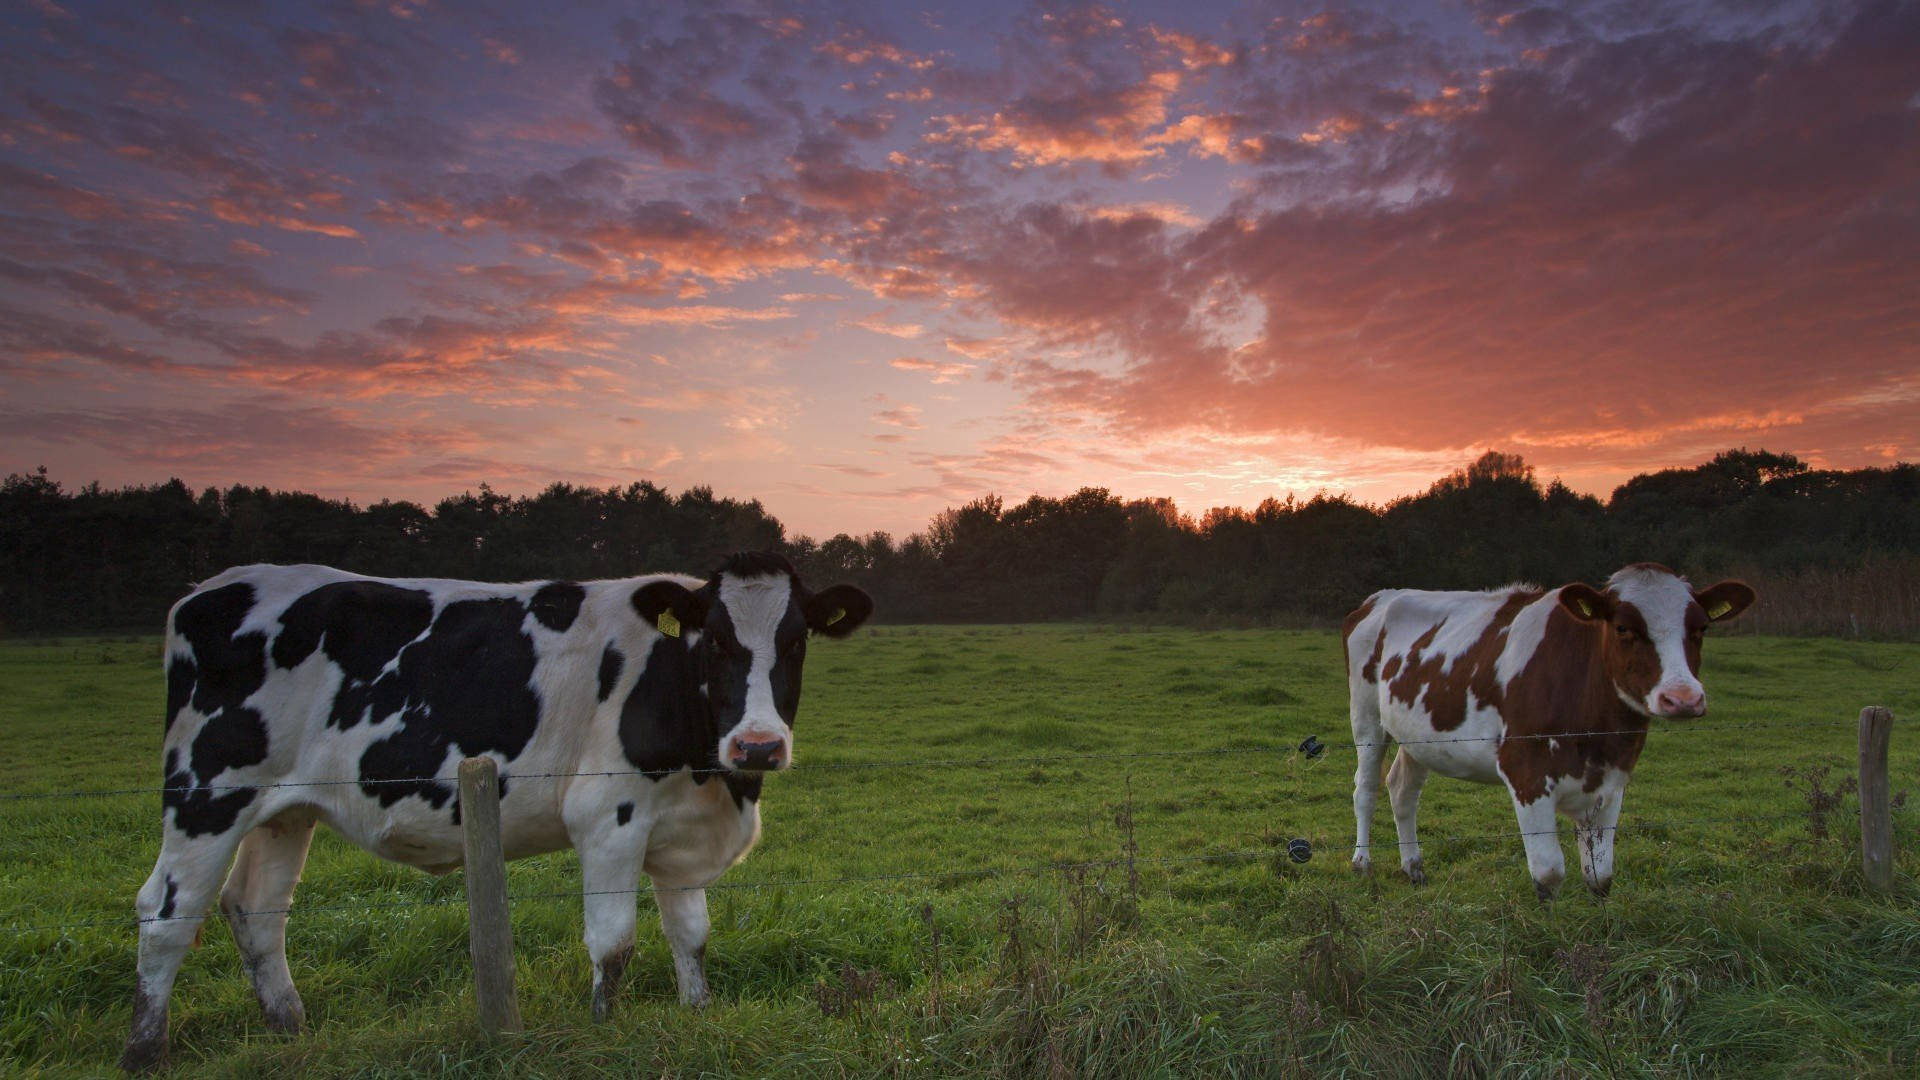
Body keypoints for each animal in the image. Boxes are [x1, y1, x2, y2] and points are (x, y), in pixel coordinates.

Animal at [120, 553, 871, 1068]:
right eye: (714, 640)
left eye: (796, 641)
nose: (758, 745)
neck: (712, 774)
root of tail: (210, 589)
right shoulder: (610, 816)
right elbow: (614, 944)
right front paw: (602, 1030)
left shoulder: (681, 829)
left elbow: (690, 935)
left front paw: (696, 1016)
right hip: (207, 794)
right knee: (165, 912)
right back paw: (144, 1051)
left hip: (283, 810)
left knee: (255, 910)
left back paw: (290, 1029)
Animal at [1344, 557, 1751, 895]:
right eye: (1622, 627)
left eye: (1700, 628)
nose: (1682, 698)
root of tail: (1382, 596)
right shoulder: (1525, 772)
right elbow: (1549, 873)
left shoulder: (1611, 781)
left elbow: (1600, 876)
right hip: (1366, 718)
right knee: (1366, 788)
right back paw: (1362, 863)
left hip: (1417, 735)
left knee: (1402, 791)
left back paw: (1413, 868)